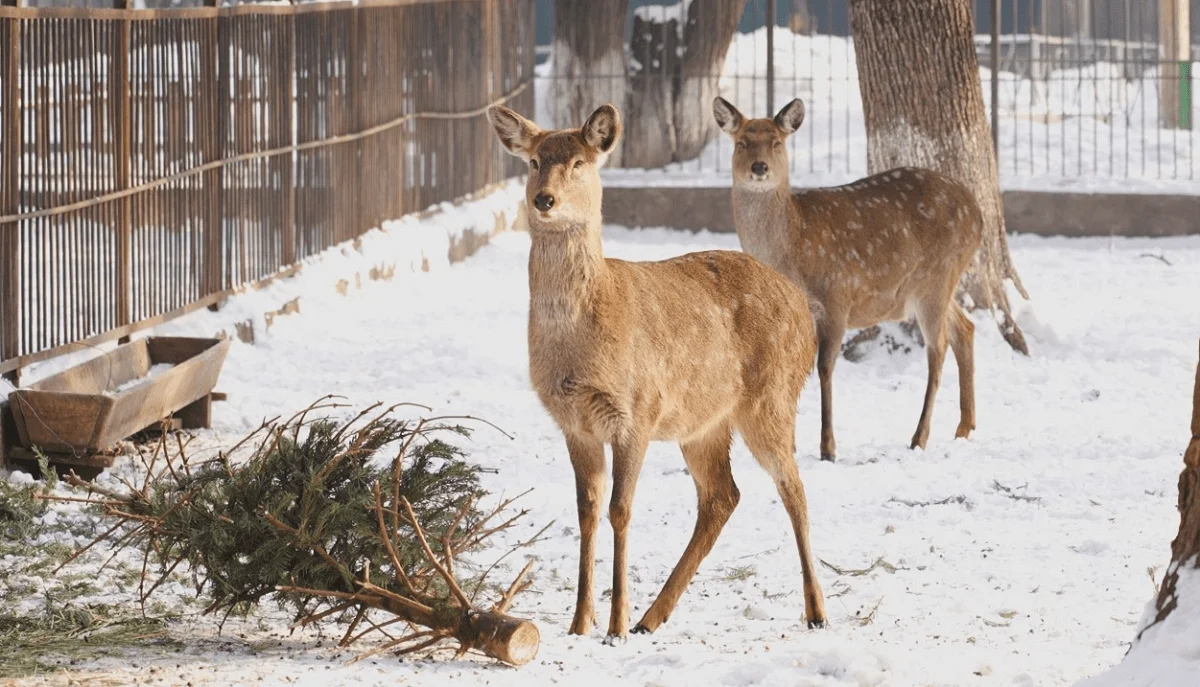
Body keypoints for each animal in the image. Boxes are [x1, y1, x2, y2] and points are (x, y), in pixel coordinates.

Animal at [487, 103, 825, 643]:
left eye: (580, 162)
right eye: (535, 160)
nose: (544, 199)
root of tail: (800, 304)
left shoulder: (637, 412)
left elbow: (620, 511)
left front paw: (614, 626)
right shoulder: (574, 423)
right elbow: (586, 512)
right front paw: (579, 624)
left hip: (772, 398)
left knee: (793, 488)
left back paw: (815, 611)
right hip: (704, 423)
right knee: (723, 496)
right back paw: (653, 617)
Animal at [710, 96, 984, 461]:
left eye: (777, 143)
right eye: (741, 142)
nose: (759, 167)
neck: (793, 247)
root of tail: (979, 214)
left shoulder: (837, 296)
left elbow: (825, 368)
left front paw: (827, 447)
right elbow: (791, 372)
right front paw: (791, 445)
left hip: (937, 275)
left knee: (937, 347)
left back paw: (919, 437)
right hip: (935, 283)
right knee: (965, 327)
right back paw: (964, 428)